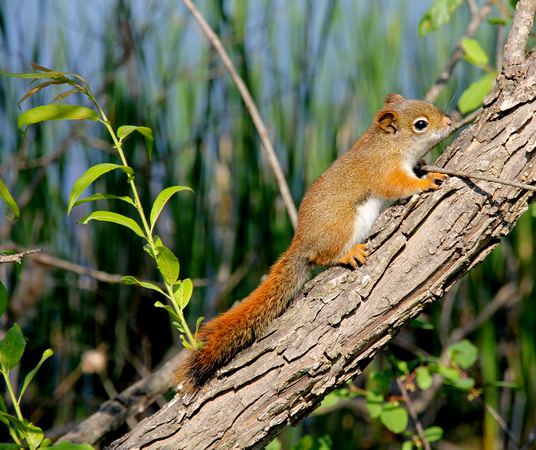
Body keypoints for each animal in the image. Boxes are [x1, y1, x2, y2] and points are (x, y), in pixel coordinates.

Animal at [177, 93, 452, 392]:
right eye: (421, 124)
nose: (450, 122)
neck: (386, 144)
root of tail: (302, 245)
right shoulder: (382, 171)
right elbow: (398, 186)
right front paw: (427, 180)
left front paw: (423, 164)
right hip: (342, 224)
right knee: (324, 256)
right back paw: (347, 255)